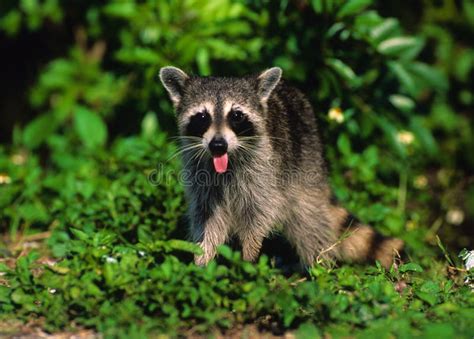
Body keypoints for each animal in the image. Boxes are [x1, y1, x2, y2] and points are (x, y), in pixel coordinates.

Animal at [160, 65, 404, 268]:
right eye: (202, 116)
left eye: (237, 116)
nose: (218, 145)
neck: (228, 161)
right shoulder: (201, 178)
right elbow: (207, 219)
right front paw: (202, 260)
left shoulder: (265, 174)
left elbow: (259, 216)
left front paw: (249, 257)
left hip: (306, 166)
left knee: (310, 222)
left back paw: (319, 270)